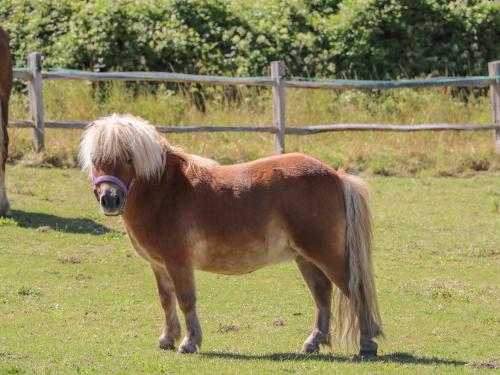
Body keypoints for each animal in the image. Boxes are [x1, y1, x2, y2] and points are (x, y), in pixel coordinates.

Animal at [81, 114, 382, 356]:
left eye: (128, 158)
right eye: (96, 160)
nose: (110, 199)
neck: (164, 192)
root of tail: (336, 175)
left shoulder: (179, 263)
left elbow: (186, 299)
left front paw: (189, 343)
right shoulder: (159, 265)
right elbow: (166, 300)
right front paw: (167, 339)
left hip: (326, 255)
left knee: (355, 290)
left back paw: (367, 344)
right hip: (305, 257)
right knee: (322, 295)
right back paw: (313, 343)